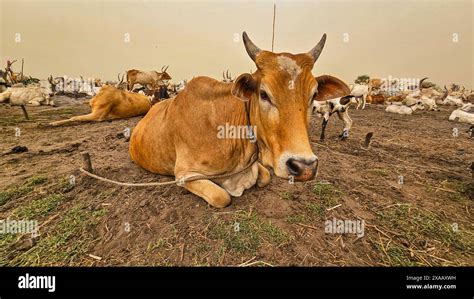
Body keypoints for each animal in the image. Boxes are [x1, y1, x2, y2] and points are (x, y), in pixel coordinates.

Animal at [130, 31, 348, 209]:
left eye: (314, 95)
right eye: (264, 94)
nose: (305, 167)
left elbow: (265, 177)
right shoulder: (184, 174)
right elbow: (222, 197)